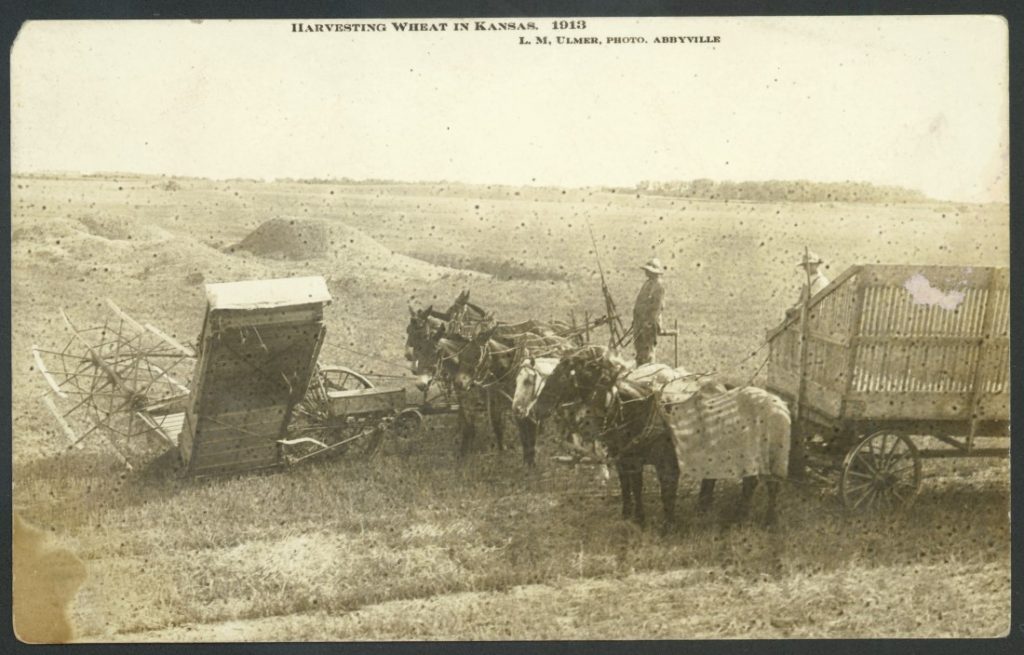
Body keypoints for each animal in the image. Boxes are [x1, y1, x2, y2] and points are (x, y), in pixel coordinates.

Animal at [528, 345, 790, 528]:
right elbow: (632, 487)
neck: (638, 411)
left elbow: (666, 493)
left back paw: (767, 521)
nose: (537, 409)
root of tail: (779, 403)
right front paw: (633, 517)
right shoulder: (628, 459)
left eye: (566, 376)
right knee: (748, 483)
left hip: (771, 455)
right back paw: (733, 516)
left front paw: (667, 525)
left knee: (772, 486)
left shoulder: (666, 465)